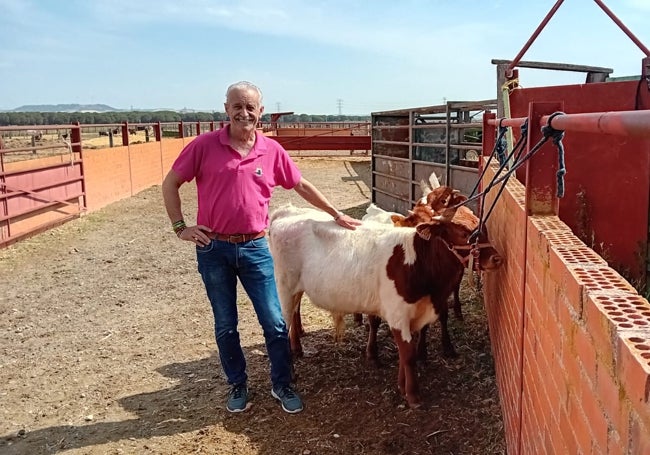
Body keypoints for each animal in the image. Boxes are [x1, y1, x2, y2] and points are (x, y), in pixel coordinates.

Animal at [268, 201, 502, 408]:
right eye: (463, 232)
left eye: (482, 228)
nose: (497, 259)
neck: (417, 262)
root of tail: (287, 211)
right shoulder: (398, 314)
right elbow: (408, 354)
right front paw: (413, 395)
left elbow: (406, 353)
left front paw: (401, 385)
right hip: (284, 288)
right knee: (282, 328)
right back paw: (290, 373)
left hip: (296, 290)